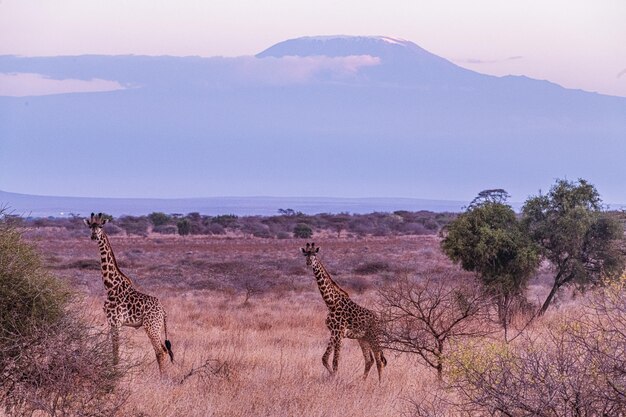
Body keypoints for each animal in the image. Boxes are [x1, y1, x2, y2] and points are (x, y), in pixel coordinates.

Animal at [302, 240, 386, 380]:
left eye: (315, 254)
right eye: (306, 254)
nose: (309, 262)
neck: (330, 302)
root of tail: (379, 320)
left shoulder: (339, 332)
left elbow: (334, 360)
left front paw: (334, 378)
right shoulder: (334, 333)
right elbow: (325, 358)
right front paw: (332, 376)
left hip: (374, 337)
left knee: (379, 360)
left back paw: (380, 383)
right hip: (363, 338)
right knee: (370, 360)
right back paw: (363, 381)